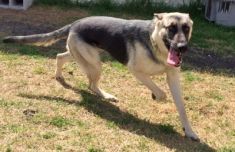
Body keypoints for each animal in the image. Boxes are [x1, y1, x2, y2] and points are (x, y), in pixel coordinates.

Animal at [2, 12, 199, 141]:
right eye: (170, 28)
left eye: (186, 28)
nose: (182, 48)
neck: (155, 43)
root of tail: (75, 23)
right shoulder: (137, 71)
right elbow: (161, 93)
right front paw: (155, 96)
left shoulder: (173, 77)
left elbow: (182, 108)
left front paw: (189, 131)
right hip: (94, 64)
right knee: (90, 85)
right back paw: (106, 95)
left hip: (81, 56)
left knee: (60, 57)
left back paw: (59, 76)